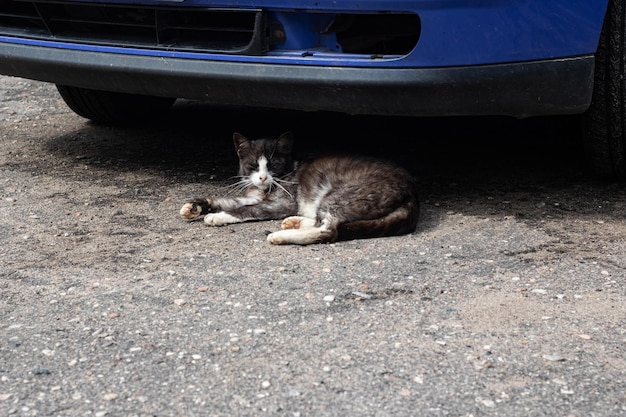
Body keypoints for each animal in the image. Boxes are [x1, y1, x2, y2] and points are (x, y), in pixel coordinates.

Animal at [178, 132, 416, 244]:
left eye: (273, 165)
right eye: (253, 165)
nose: (262, 177)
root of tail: (411, 188)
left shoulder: (280, 203)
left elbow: (245, 210)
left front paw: (218, 216)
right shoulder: (253, 195)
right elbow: (226, 200)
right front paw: (196, 206)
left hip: (339, 194)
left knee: (329, 229)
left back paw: (281, 236)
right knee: (322, 219)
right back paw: (295, 222)